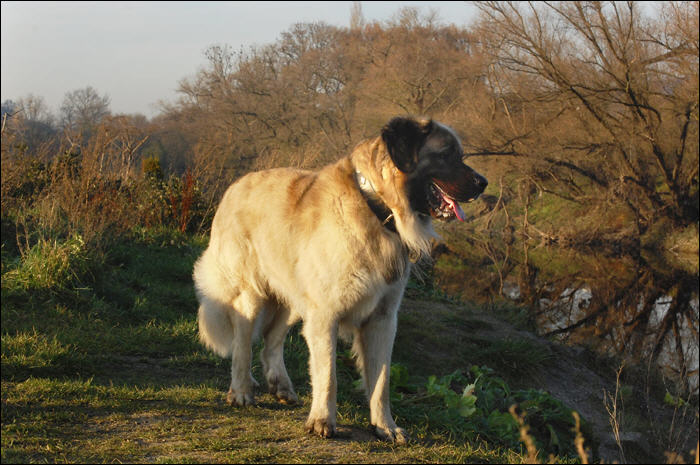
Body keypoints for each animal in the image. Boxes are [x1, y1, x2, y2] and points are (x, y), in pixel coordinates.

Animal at [191, 116, 486, 442]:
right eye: (446, 154)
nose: (483, 184)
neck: (376, 210)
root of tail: (234, 187)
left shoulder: (382, 319)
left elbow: (381, 381)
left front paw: (385, 426)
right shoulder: (325, 315)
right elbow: (328, 375)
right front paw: (322, 420)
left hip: (294, 300)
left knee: (271, 340)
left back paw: (281, 385)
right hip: (251, 294)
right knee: (242, 343)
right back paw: (242, 390)